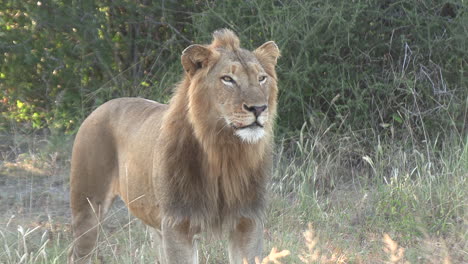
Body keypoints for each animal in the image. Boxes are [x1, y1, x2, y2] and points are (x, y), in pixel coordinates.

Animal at [68, 28, 280, 264]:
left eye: (261, 78)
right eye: (228, 79)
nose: (259, 108)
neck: (223, 151)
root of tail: (101, 107)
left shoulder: (248, 220)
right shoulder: (177, 223)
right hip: (87, 208)